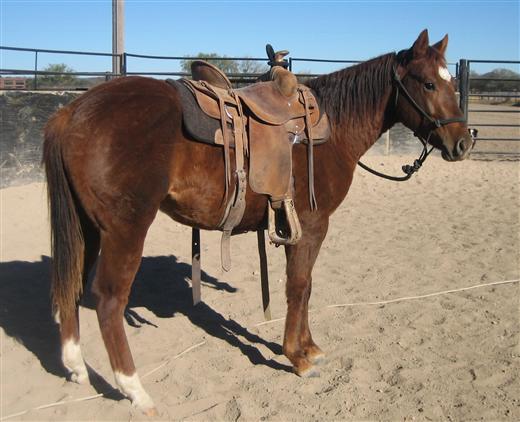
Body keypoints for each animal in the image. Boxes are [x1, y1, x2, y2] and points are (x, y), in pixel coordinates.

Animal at [43, 30, 472, 416]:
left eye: (451, 81)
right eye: (429, 82)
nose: (465, 142)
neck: (331, 130)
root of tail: (71, 112)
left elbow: (306, 287)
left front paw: (310, 347)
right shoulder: (312, 226)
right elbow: (299, 287)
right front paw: (297, 357)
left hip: (86, 229)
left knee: (71, 285)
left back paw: (76, 366)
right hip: (126, 229)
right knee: (109, 302)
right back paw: (135, 390)